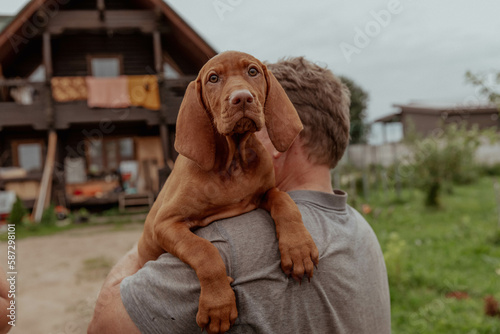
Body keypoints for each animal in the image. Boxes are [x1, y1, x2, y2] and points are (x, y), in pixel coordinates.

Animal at [137, 50, 318, 334]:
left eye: (253, 72)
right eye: (213, 78)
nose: (242, 98)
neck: (233, 163)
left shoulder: (266, 191)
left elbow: (284, 200)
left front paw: (298, 248)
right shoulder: (165, 223)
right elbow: (204, 251)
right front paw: (218, 305)